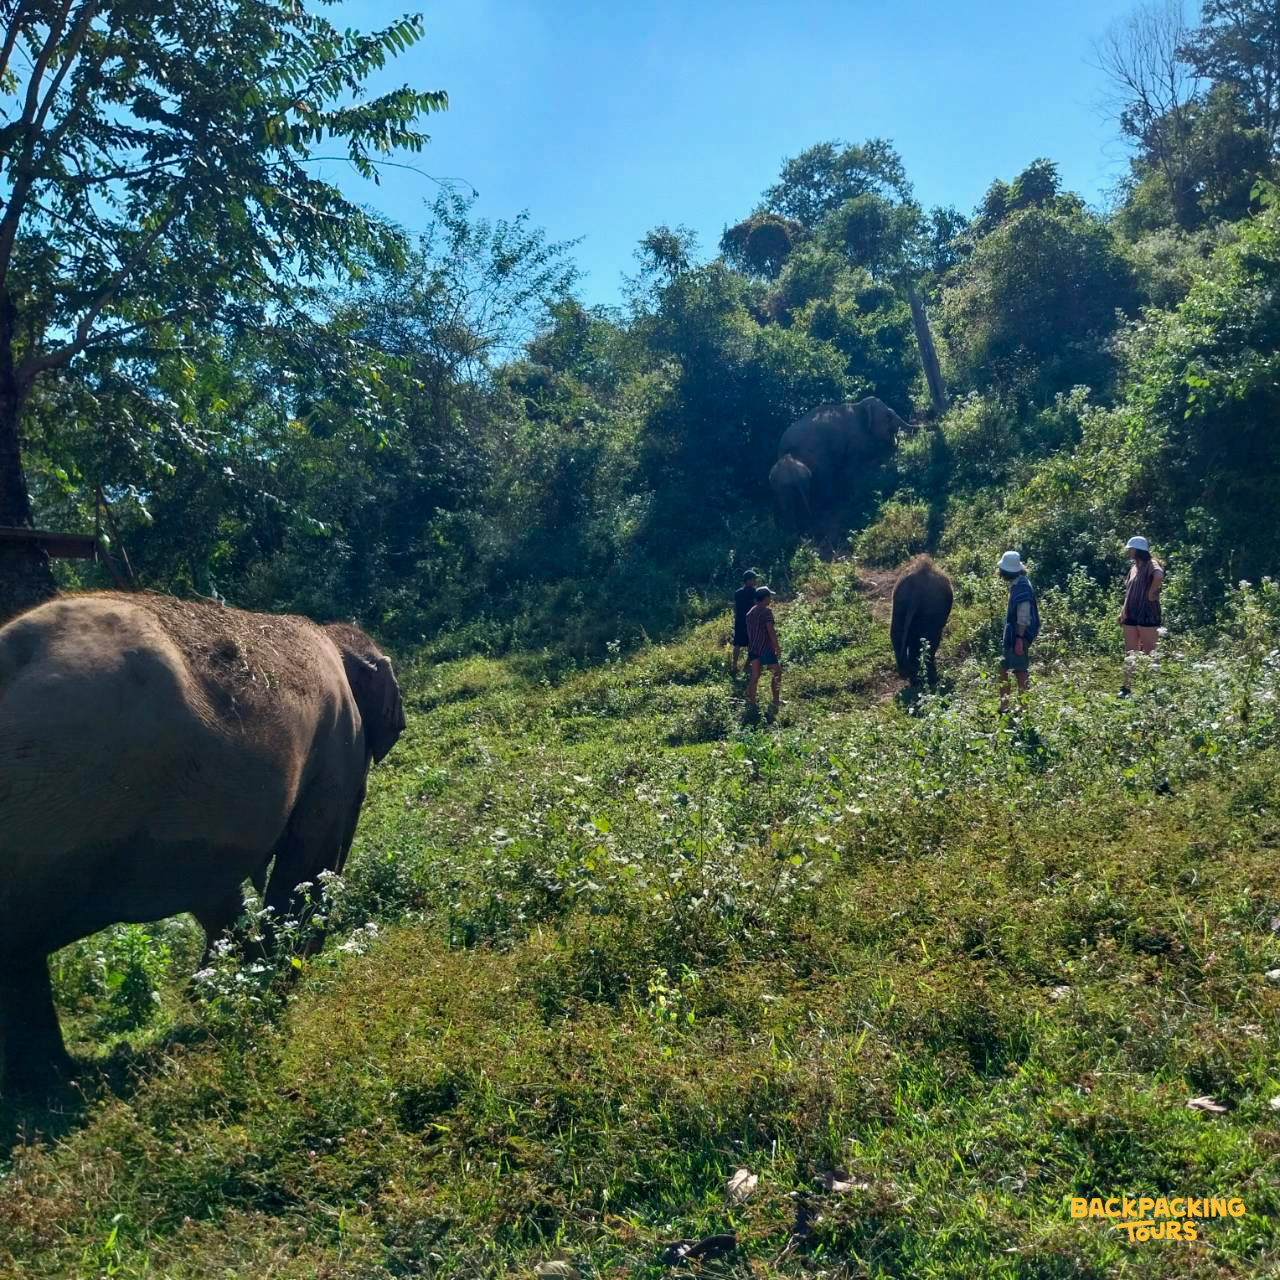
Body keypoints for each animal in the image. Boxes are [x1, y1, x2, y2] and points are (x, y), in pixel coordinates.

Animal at [0, 591, 406, 1096]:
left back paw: (49, 1084)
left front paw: (225, 984)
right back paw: (52, 1084)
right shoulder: (337, 744)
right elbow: (307, 857)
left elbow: (219, 891)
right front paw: (283, 973)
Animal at [890, 556, 953, 685]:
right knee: (930, 640)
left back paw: (909, 674)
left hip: (900, 604)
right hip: (931, 612)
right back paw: (931, 677)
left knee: (897, 634)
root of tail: (917, 589)